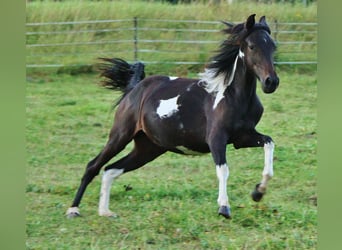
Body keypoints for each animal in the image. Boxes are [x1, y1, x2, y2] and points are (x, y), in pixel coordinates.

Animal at [66, 14, 278, 220]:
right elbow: (223, 170)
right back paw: (73, 210)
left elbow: (269, 143)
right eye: (252, 46)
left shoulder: (242, 137)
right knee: (93, 166)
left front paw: (258, 192)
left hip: (148, 148)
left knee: (111, 169)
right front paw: (224, 208)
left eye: (273, 46)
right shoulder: (216, 138)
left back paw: (105, 212)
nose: (271, 82)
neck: (233, 96)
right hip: (120, 135)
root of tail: (134, 89)